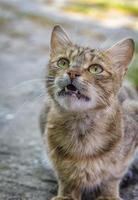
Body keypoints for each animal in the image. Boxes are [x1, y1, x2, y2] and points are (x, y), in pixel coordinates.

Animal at [39, 25, 138, 200]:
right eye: (63, 62)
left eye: (96, 69)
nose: (72, 72)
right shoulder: (54, 154)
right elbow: (66, 176)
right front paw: (66, 195)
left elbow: (112, 177)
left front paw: (108, 195)